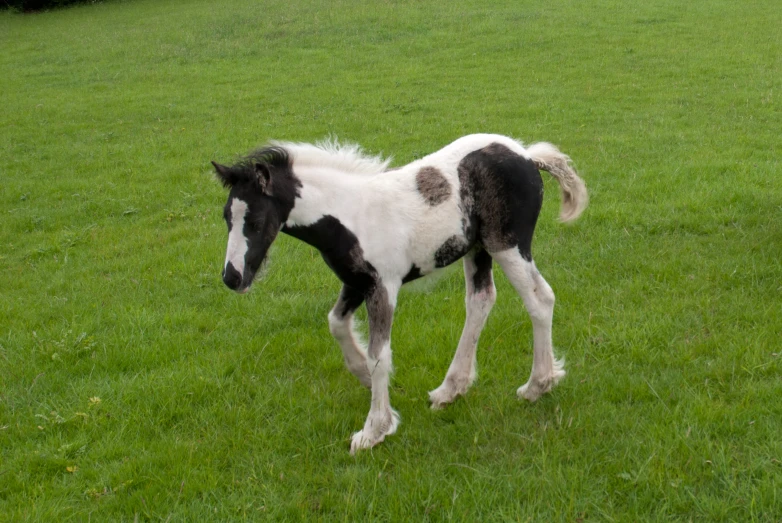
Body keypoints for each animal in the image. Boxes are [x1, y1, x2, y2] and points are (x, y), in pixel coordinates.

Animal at [213, 135, 588, 454]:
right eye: (227, 217)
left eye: (256, 221)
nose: (232, 277)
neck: (351, 215)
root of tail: (527, 155)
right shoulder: (356, 282)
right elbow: (336, 323)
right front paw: (365, 377)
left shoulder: (383, 287)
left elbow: (379, 354)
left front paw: (374, 430)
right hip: (478, 249)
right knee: (482, 301)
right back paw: (451, 389)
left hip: (506, 245)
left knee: (539, 300)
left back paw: (537, 385)